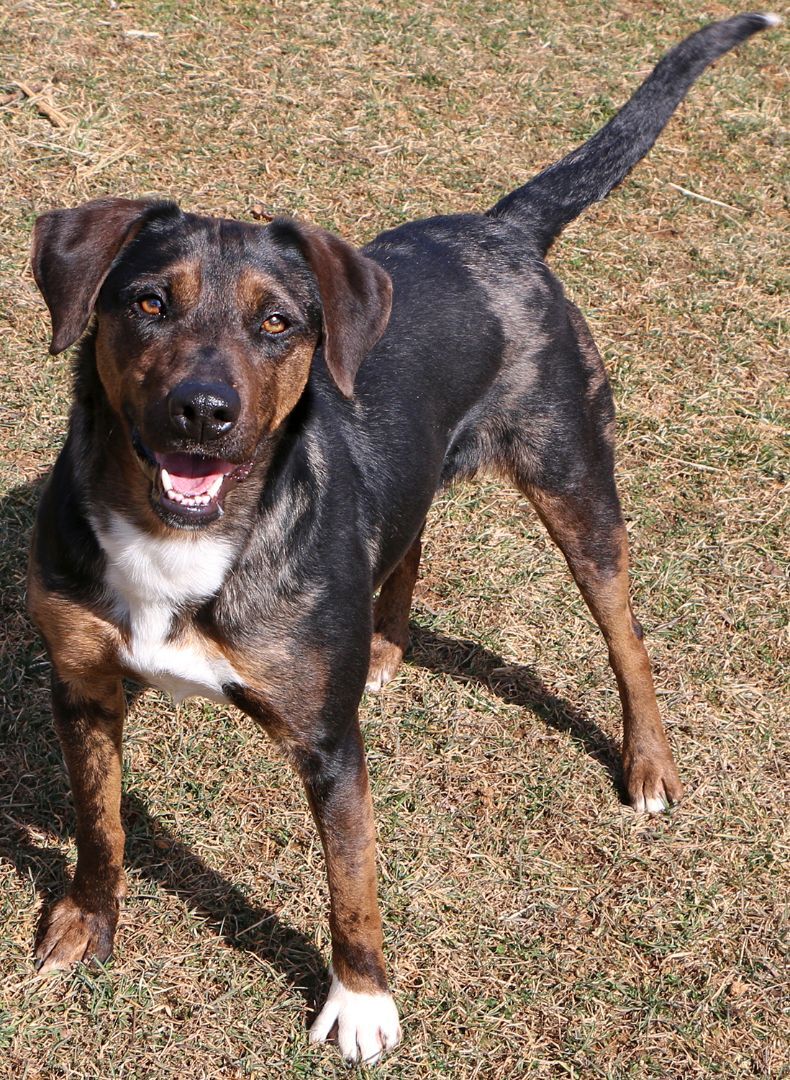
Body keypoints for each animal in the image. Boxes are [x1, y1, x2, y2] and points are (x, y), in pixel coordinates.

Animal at [26, 12, 778, 1067]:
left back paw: (648, 763)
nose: (203, 414)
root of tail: (502, 227)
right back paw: (384, 650)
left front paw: (361, 1002)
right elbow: (99, 825)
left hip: (576, 478)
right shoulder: (83, 688)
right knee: (410, 537)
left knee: (625, 630)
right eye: (147, 303)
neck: (186, 534)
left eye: (276, 322)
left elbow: (353, 883)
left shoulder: (329, 745)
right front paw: (87, 922)